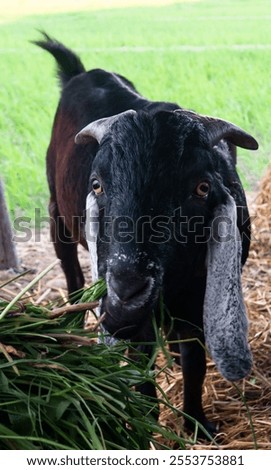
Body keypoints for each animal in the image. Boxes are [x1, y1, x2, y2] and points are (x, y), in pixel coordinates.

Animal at [35, 34, 258, 436]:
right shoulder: (138, 321)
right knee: (72, 273)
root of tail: (82, 72)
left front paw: (198, 423)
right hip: (56, 211)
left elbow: (195, 362)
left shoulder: (196, 300)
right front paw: (148, 421)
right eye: (97, 184)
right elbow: (142, 365)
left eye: (202, 188)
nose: (126, 294)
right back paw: (70, 322)